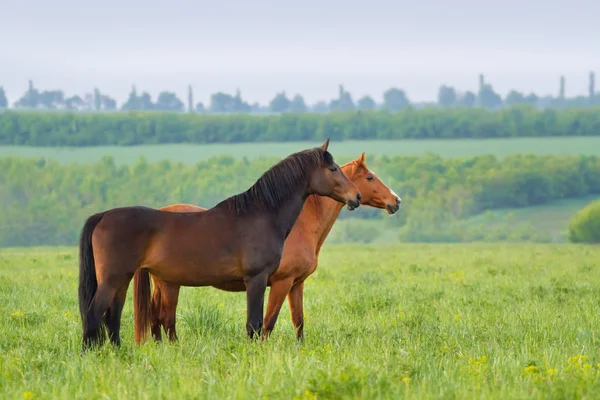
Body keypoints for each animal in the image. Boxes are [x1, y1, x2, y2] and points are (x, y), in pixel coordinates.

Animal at [75, 141, 358, 350]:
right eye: (333, 169)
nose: (355, 196)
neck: (261, 214)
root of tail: (103, 216)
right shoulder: (257, 279)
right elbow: (255, 324)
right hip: (114, 280)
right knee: (94, 314)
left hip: (122, 280)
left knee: (112, 317)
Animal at [134, 152, 400, 342]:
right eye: (370, 177)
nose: (395, 201)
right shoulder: (280, 282)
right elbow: (268, 322)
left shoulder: (297, 284)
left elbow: (298, 321)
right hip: (169, 283)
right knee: (164, 317)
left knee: (155, 316)